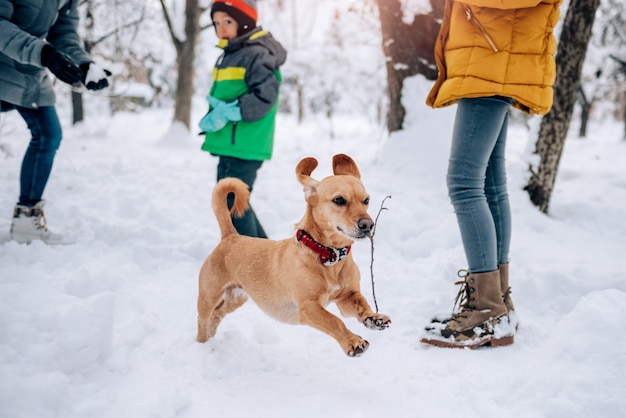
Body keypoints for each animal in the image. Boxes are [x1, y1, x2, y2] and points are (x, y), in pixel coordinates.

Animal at [196, 153, 390, 356]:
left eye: (366, 200)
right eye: (339, 200)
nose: (368, 225)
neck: (330, 256)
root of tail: (230, 236)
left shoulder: (347, 297)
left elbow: (362, 304)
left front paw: (374, 318)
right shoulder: (309, 307)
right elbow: (334, 321)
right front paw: (353, 341)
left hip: (236, 297)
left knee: (217, 316)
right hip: (208, 298)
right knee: (203, 321)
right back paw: (202, 347)